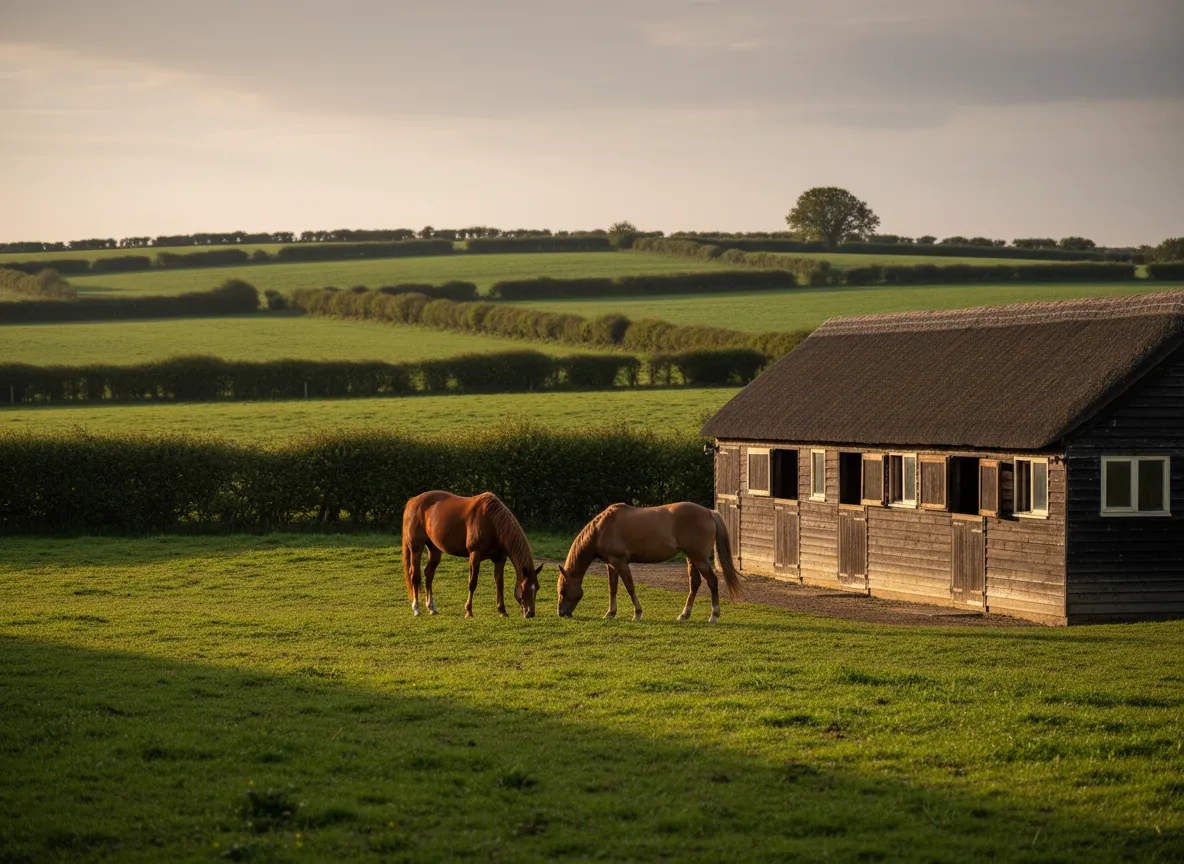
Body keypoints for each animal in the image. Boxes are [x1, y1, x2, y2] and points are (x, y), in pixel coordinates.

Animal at [402, 491, 543, 618]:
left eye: (537, 588)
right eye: (524, 588)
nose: (530, 613)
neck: (492, 522)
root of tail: (413, 501)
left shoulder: (500, 559)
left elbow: (500, 584)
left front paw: (502, 611)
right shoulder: (475, 555)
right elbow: (472, 583)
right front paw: (468, 611)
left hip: (434, 549)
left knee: (429, 574)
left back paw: (431, 608)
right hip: (416, 548)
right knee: (415, 575)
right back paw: (416, 608)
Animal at [556, 502, 741, 622]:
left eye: (563, 590)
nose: (562, 613)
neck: (601, 529)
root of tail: (709, 512)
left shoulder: (620, 563)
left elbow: (630, 587)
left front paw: (637, 613)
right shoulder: (611, 564)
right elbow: (612, 589)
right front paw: (610, 613)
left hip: (700, 559)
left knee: (712, 582)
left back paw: (714, 616)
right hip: (692, 559)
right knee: (695, 584)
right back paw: (684, 614)